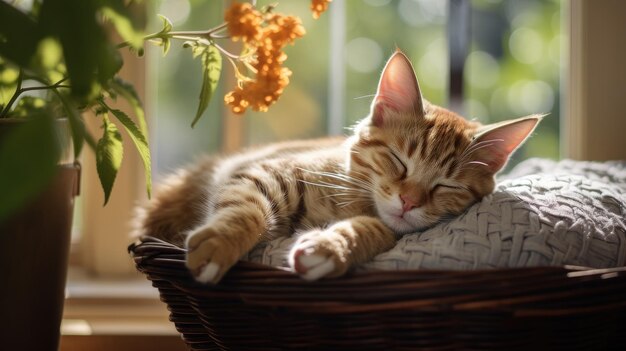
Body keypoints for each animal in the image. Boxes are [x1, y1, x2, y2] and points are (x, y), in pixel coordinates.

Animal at [133, 51, 540, 284]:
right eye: (399, 160)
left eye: (447, 185)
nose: (409, 202)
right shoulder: (263, 172)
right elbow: (246, 210)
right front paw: (221, 242)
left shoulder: (389, 230)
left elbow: (373, 230)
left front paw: (333, 247)